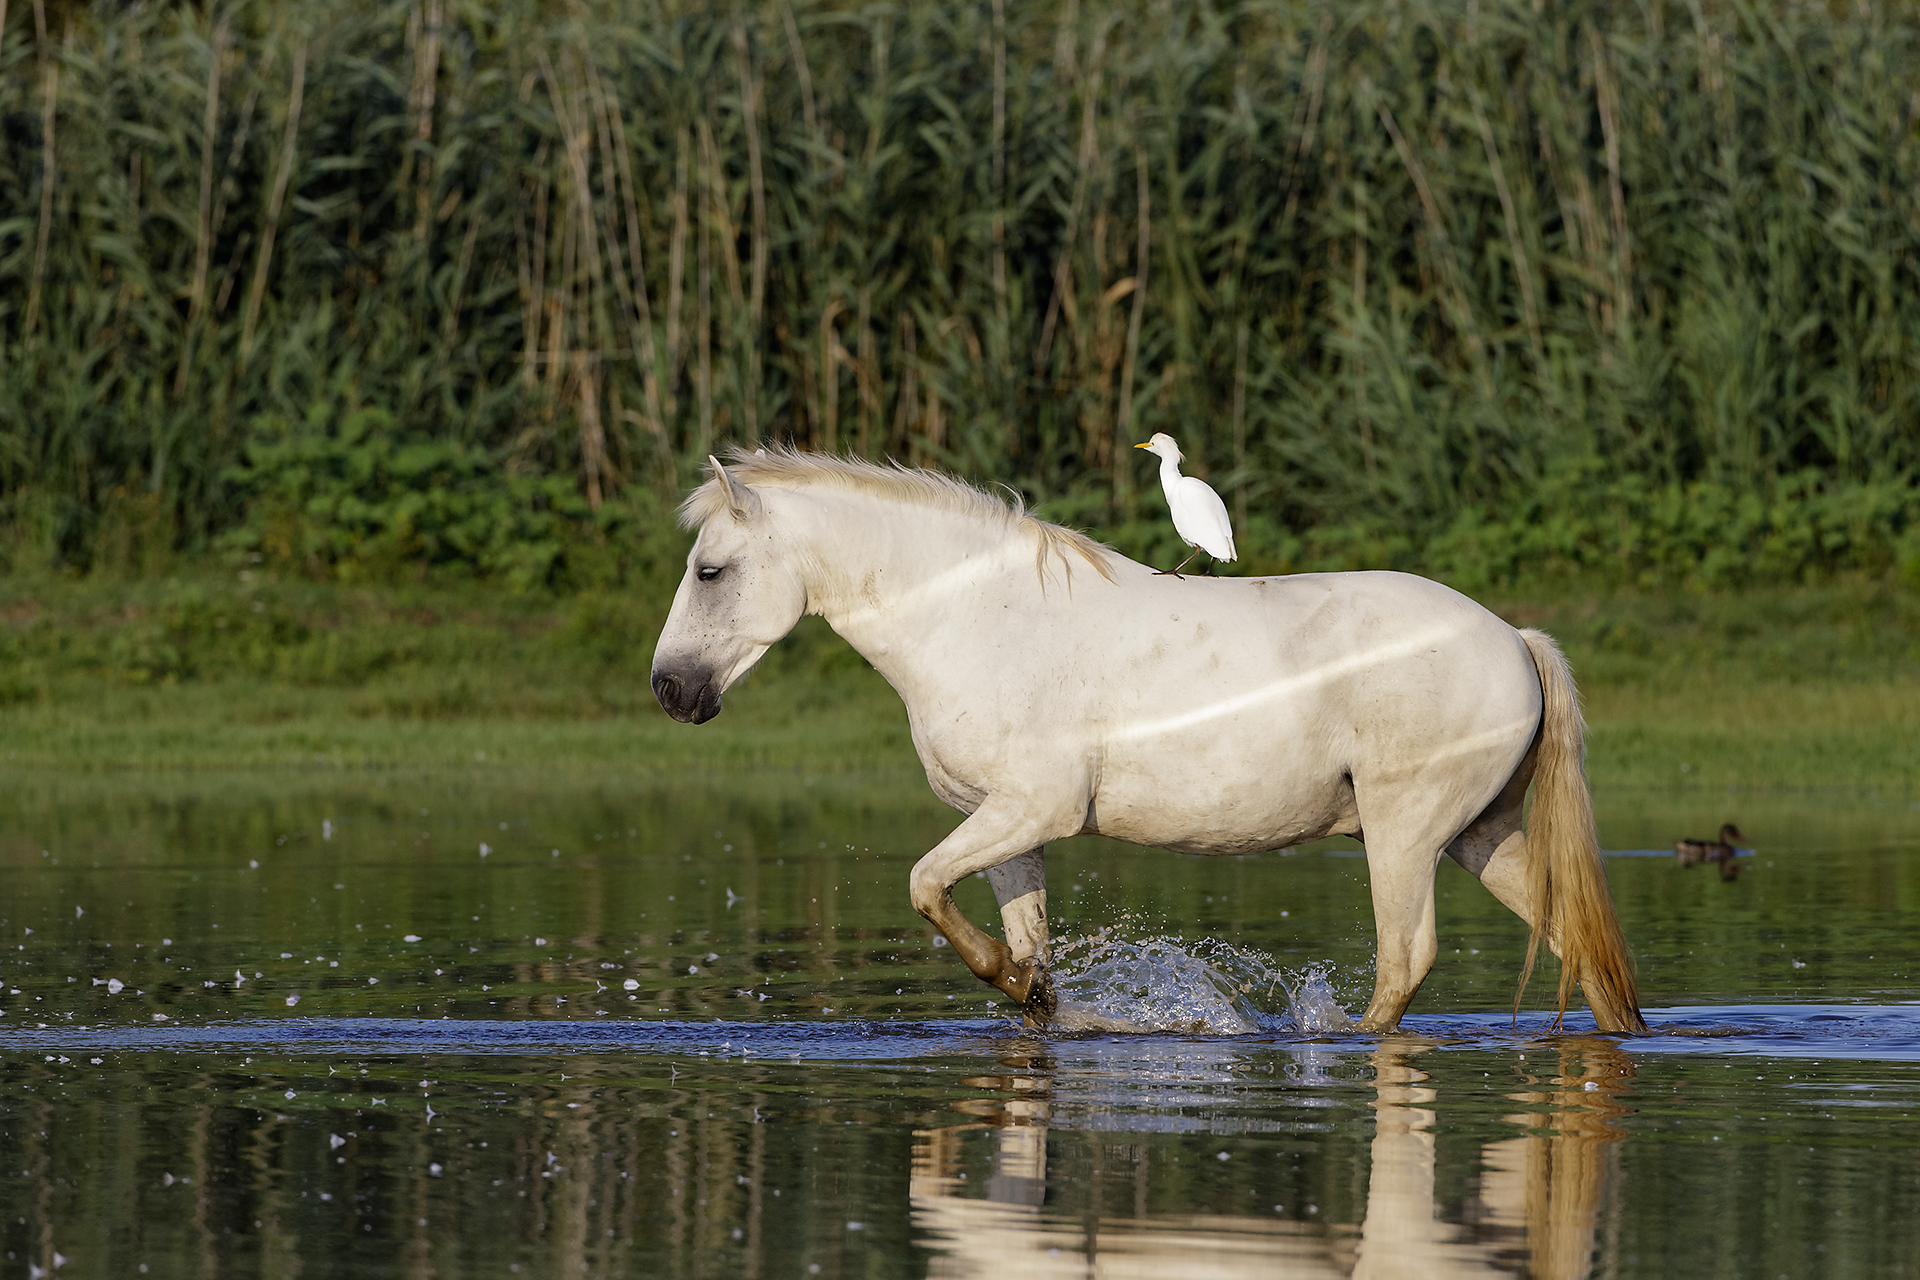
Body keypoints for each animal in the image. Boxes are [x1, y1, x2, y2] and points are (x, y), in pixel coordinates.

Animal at [650, 448, 1648, 1035]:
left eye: (711, 571)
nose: (670, 690)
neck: (979, 620)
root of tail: (1513, 638)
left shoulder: (1031, 810)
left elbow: (924, 885)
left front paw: (1008, 981)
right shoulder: (1008, 827)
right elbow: (1026, 950)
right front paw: (1030, 992)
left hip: (1405, 836)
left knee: (1405, 966)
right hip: (1480, 836)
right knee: (1578, 947)